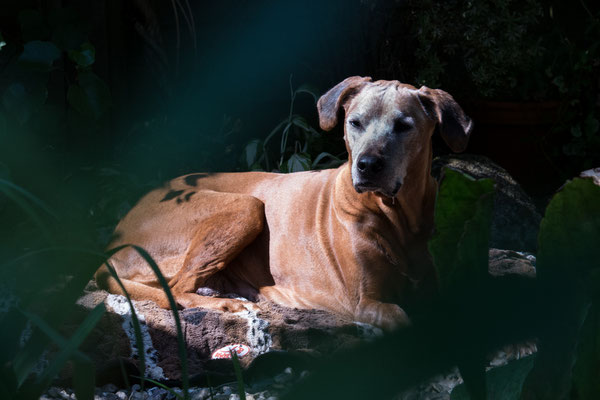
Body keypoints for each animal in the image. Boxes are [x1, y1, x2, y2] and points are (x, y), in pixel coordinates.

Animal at [96, 76, 474, 330]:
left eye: (403, 126)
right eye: (355, 122)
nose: (366, 166)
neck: (394, 214)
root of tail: (115, 235)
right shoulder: (365, 302)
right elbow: (402, 317)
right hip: (246, 205)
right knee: (176, 289)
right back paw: (225, 305)